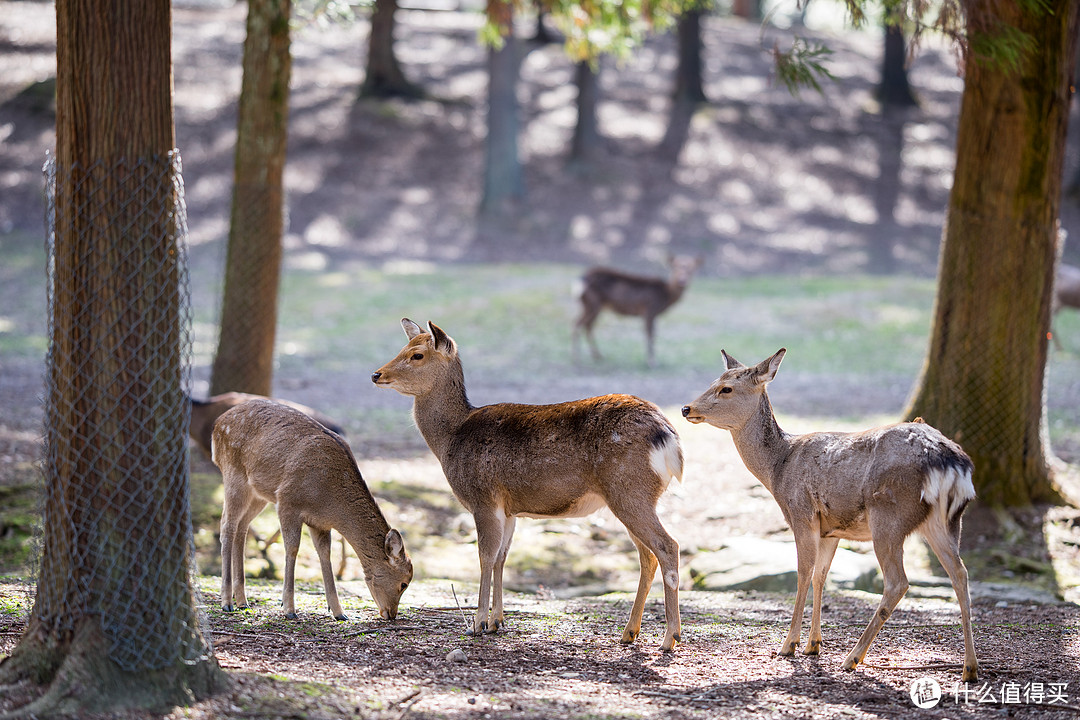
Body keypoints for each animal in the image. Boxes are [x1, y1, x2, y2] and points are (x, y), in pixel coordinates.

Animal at [211, 399, 412, 621]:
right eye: (404, 583)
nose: (391, 614)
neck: (330, 504)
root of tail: (217, 424)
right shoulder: (287, 501)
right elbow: (292, 548)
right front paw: (289, 608)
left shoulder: (319, 523)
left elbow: (325, 554)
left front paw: (339, 612)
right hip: (233, 475)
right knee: (227, 525)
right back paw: (227, 602)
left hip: (259, 494)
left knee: (242, 527)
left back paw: (242, 601)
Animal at [373, 317, 682, 651]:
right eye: (403, 347)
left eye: (417, 355)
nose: (377, 374)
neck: (450, 438)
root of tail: (668, 436)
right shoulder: (509, 509)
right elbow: (501, 558)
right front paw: (497, 621)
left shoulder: (483, 499)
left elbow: (484, 556)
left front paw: (477, 624)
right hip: (632, 496)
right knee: (647, 556)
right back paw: (629, 632)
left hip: (629, 490)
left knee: (668, 546)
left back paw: (670, 637)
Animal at [570, 253, 704, 367]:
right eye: (675, 267)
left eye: (692, 269)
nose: (682, 281)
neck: (666, 295)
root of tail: (582, 278)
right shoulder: (650, 310)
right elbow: (650, 334)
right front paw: (652, 362)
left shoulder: (650, 313)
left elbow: (651, 334)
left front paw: (650, 360)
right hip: (593, 304)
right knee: (578, 324)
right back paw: (577, 360)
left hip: (590, 305)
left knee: (586, 325)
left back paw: (597, 356)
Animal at [682, 349, 980, 682]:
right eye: (713, 381)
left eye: (727, 389)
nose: (686, 408)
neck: (778, 469)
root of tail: (950, 460)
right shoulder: (832, 530)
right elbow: (820, 576)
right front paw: (813, 645)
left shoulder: (801, 514)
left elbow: (803, 573)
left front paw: (789, 645)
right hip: (945, 521)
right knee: (960, 574)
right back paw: (969, 667)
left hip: (889, 516)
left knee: (898, 582)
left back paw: (853, 657)